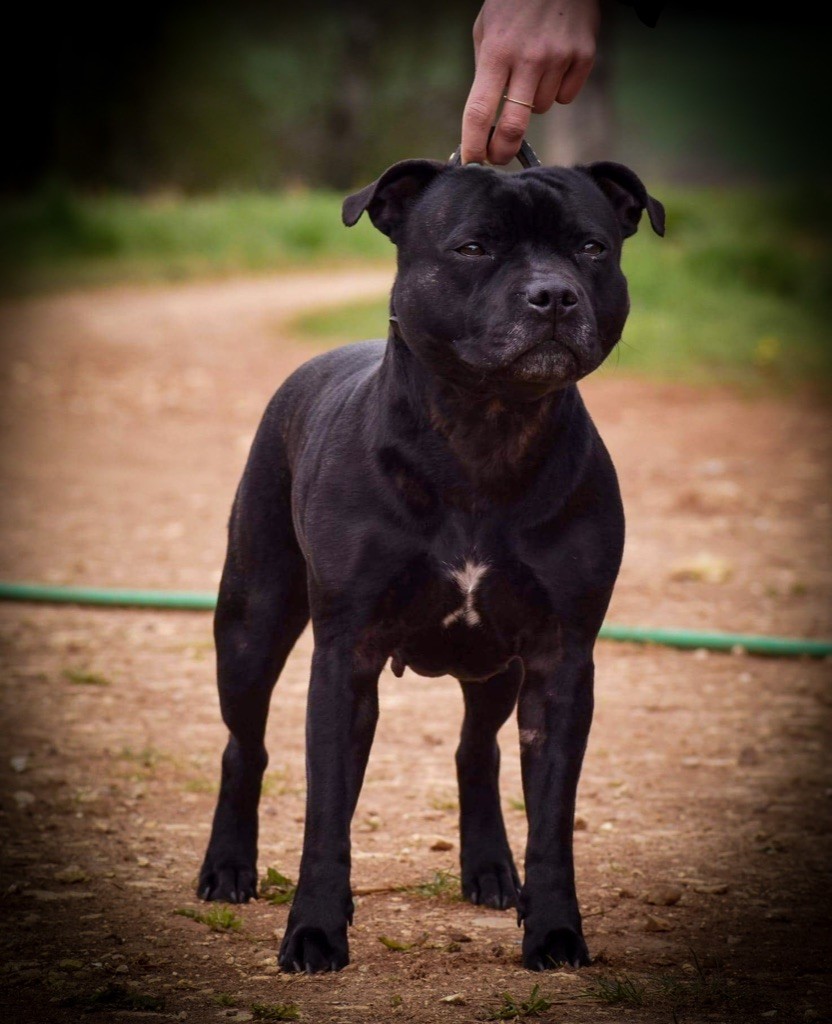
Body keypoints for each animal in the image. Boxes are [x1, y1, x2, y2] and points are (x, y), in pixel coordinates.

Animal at [196, 155, 663, 970]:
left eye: (592, 248)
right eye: (474, 247)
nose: (553, 295)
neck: (485, 430)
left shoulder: (560, 660)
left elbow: (553, 821)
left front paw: (555, 930)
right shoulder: (344, 655)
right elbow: (326, 813)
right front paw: (314, 929)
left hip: (498, 666)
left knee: (476, 750)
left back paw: (490, 870)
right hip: (251, 624)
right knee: (245, 747)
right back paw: (228, 867)